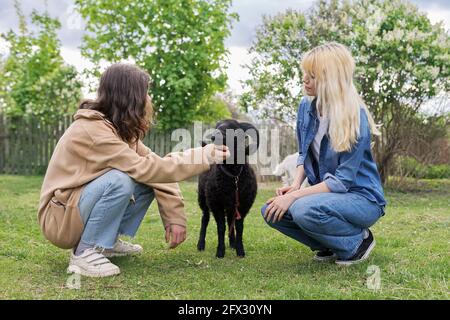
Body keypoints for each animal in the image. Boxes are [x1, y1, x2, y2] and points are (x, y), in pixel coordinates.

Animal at [197, 119, 260, 258]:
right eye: (217, 126)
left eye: (233, 127)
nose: (214, 137)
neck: (233, 176)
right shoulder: (216, 204)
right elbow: (221, 227)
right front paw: (220, 252)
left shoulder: (243, 205)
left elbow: (239, 227)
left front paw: (240, 251)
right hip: (204, 199)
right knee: (205, 219)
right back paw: (200, 245)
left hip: (231, 205)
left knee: (230, 220)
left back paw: (232, 243)